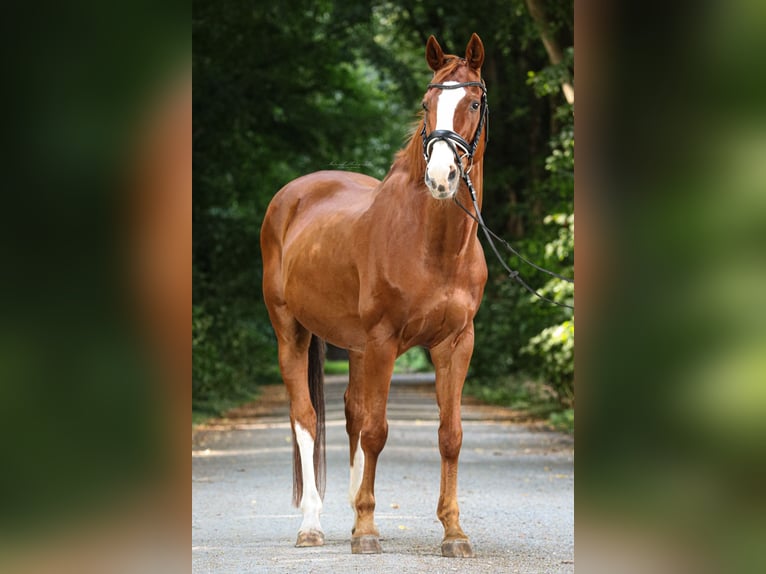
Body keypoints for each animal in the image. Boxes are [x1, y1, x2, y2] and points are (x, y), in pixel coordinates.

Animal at [264, 32, 488, 560]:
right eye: (426, 103)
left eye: (473, 102)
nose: (442, 178)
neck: (433, 245)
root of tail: (292, 195)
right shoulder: (385, 340)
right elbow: (378, 431)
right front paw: (366, 531)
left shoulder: (456, 343)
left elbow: (449, 435)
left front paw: (454, 532)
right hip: (292, 332)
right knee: (306, 417)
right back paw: (312, 523)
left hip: (356, 347)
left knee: (350, 412)